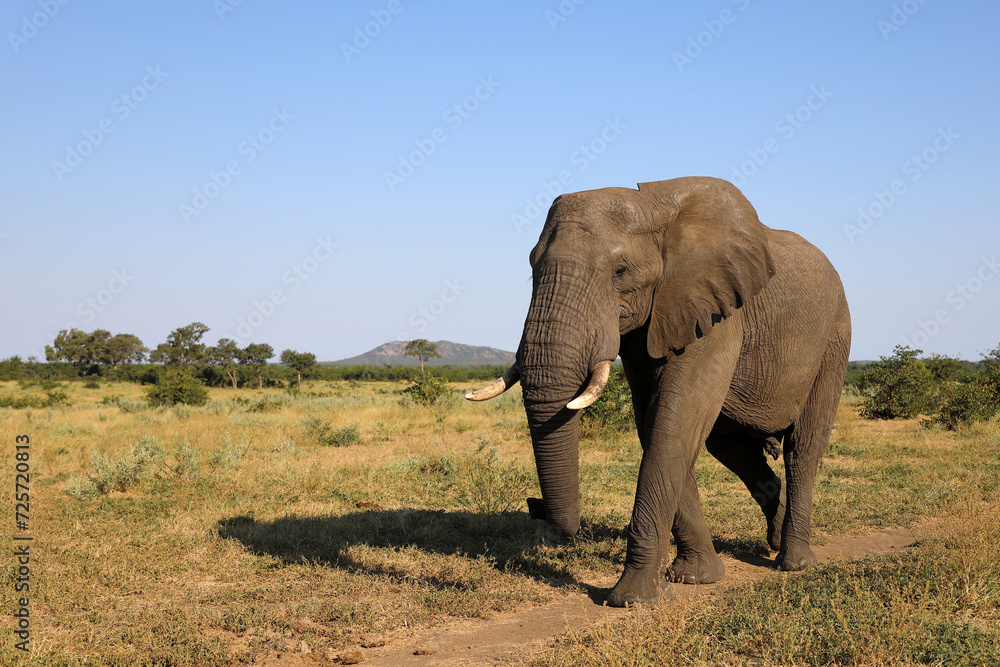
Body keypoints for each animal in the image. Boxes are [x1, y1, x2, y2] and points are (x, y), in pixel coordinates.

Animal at [467, 176, 850, 607]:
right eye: (532, 266)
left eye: (620, 272)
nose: (536, 508)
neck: (653, 207)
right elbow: (654, 423)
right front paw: (695, 578)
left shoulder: (713, 311)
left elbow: (674, 422)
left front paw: (630, 600)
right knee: (731, 448)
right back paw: (773, 539)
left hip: (835, 338)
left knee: (802, 447)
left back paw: (794, 562)